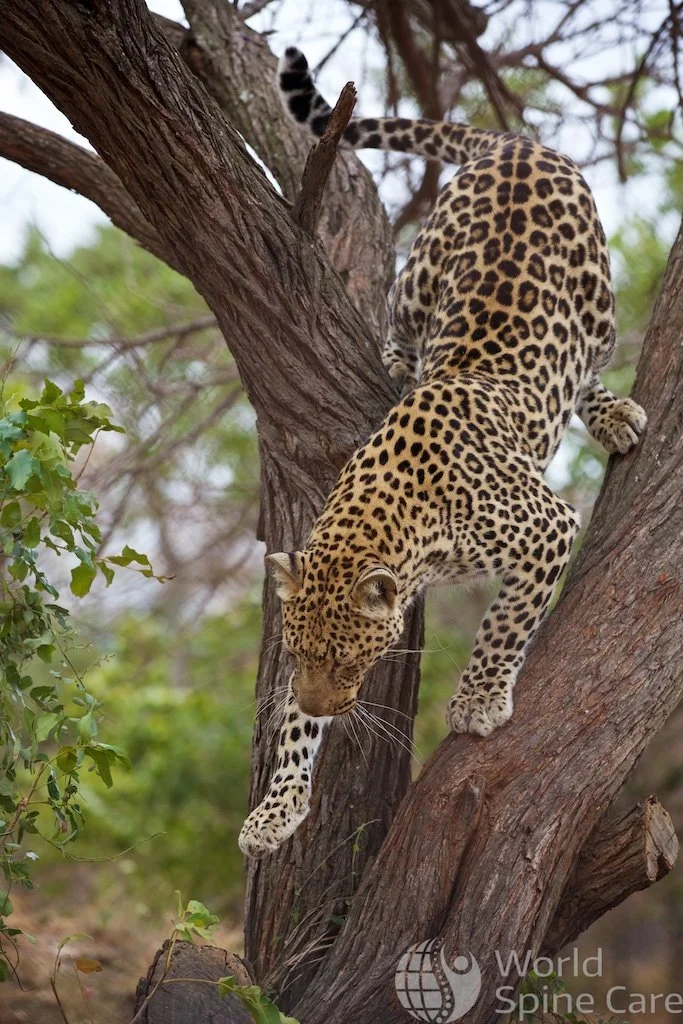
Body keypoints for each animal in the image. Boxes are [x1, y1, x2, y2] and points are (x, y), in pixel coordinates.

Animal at [238, 47, 647, 858]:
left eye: (346, 659)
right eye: (298, 654)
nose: (322, 701)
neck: (398, 518)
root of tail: (516, 144)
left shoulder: (546, 527)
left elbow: (506, 620)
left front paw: (480, 698)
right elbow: (293, 732)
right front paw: (278, 807)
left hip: (599, 311)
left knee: (586, 365)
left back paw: (613, 414)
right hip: (419, 277)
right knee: (405, 323)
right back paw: (404, 363)